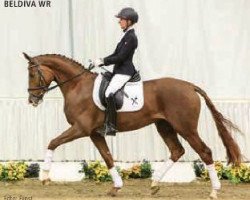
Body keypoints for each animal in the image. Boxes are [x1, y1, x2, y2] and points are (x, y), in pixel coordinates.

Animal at [23, 52, 240, 198]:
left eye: (32, 74)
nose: (32, 100)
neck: (77, 86)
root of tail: (190, 86)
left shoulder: (80, 128)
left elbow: (53, 142)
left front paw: (45, 177)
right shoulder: (94, 133)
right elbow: (107, 157)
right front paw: (116, 187)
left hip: (186, 128)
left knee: (205, 152)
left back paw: (214, 191)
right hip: (164, 126)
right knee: (177, 150)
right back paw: (154, 184)